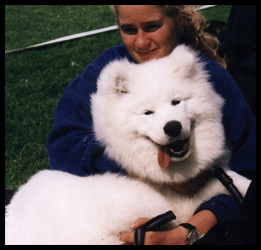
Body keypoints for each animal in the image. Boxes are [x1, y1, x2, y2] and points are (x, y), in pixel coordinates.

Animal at [5, 45, 250, 244]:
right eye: (148, 113)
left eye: (177, 102)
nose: (172, 127)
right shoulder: (173, 206)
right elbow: (221, 182)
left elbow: (228, 178)